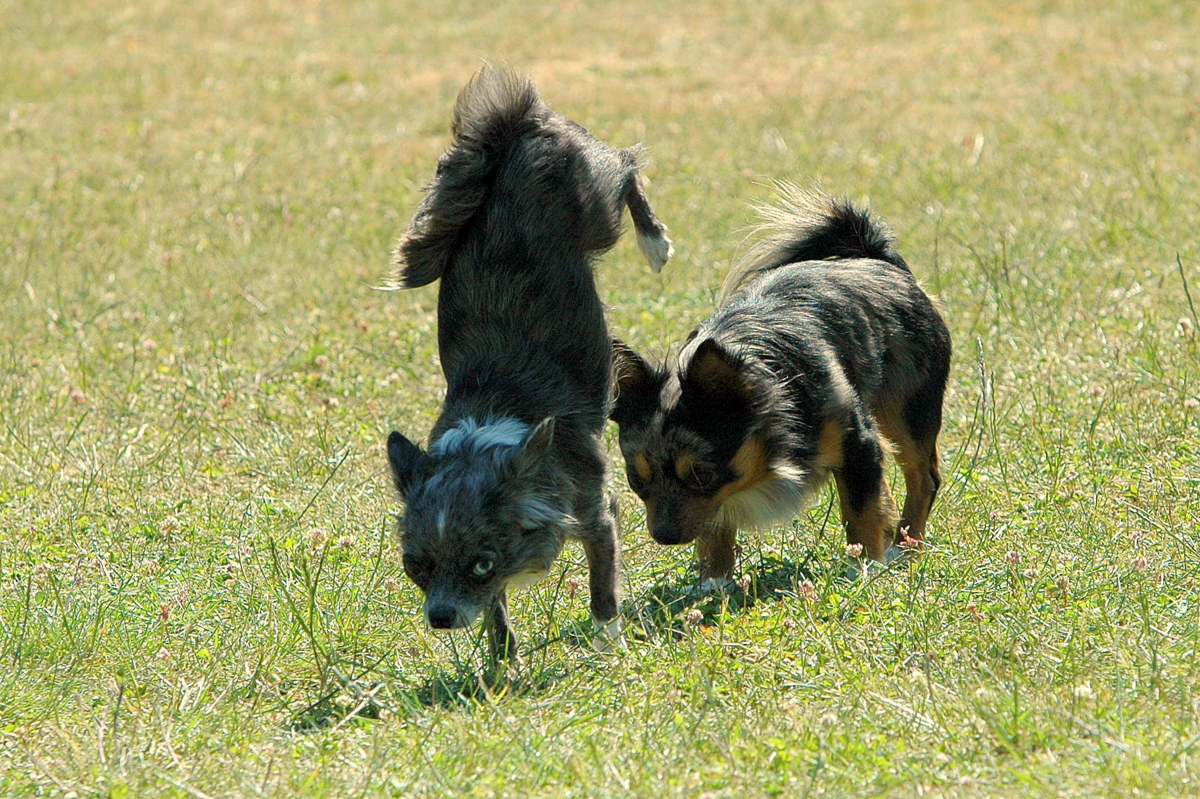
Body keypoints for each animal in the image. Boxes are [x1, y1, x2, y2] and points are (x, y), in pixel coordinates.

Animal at [391, 65, 681, 657]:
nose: (441, 618)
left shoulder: (596, 515)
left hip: (595, 206)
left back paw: (655, 242)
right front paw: (501, 666)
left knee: (627, 167)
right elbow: (497, 616)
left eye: (481, 563)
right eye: (418, 566)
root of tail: (512, 131)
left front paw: (608, 647)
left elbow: (603, 588)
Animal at [614, 189, 950, 583]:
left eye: (701, 476)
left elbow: (859, 509)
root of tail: (874, 257)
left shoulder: (856, 440)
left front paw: (863, 568)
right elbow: (715, 525)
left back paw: (905, 546)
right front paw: (713, 583)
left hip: (906, 411)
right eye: (636, 480)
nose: (664, 536)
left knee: (923, 477)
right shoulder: (718, 497)